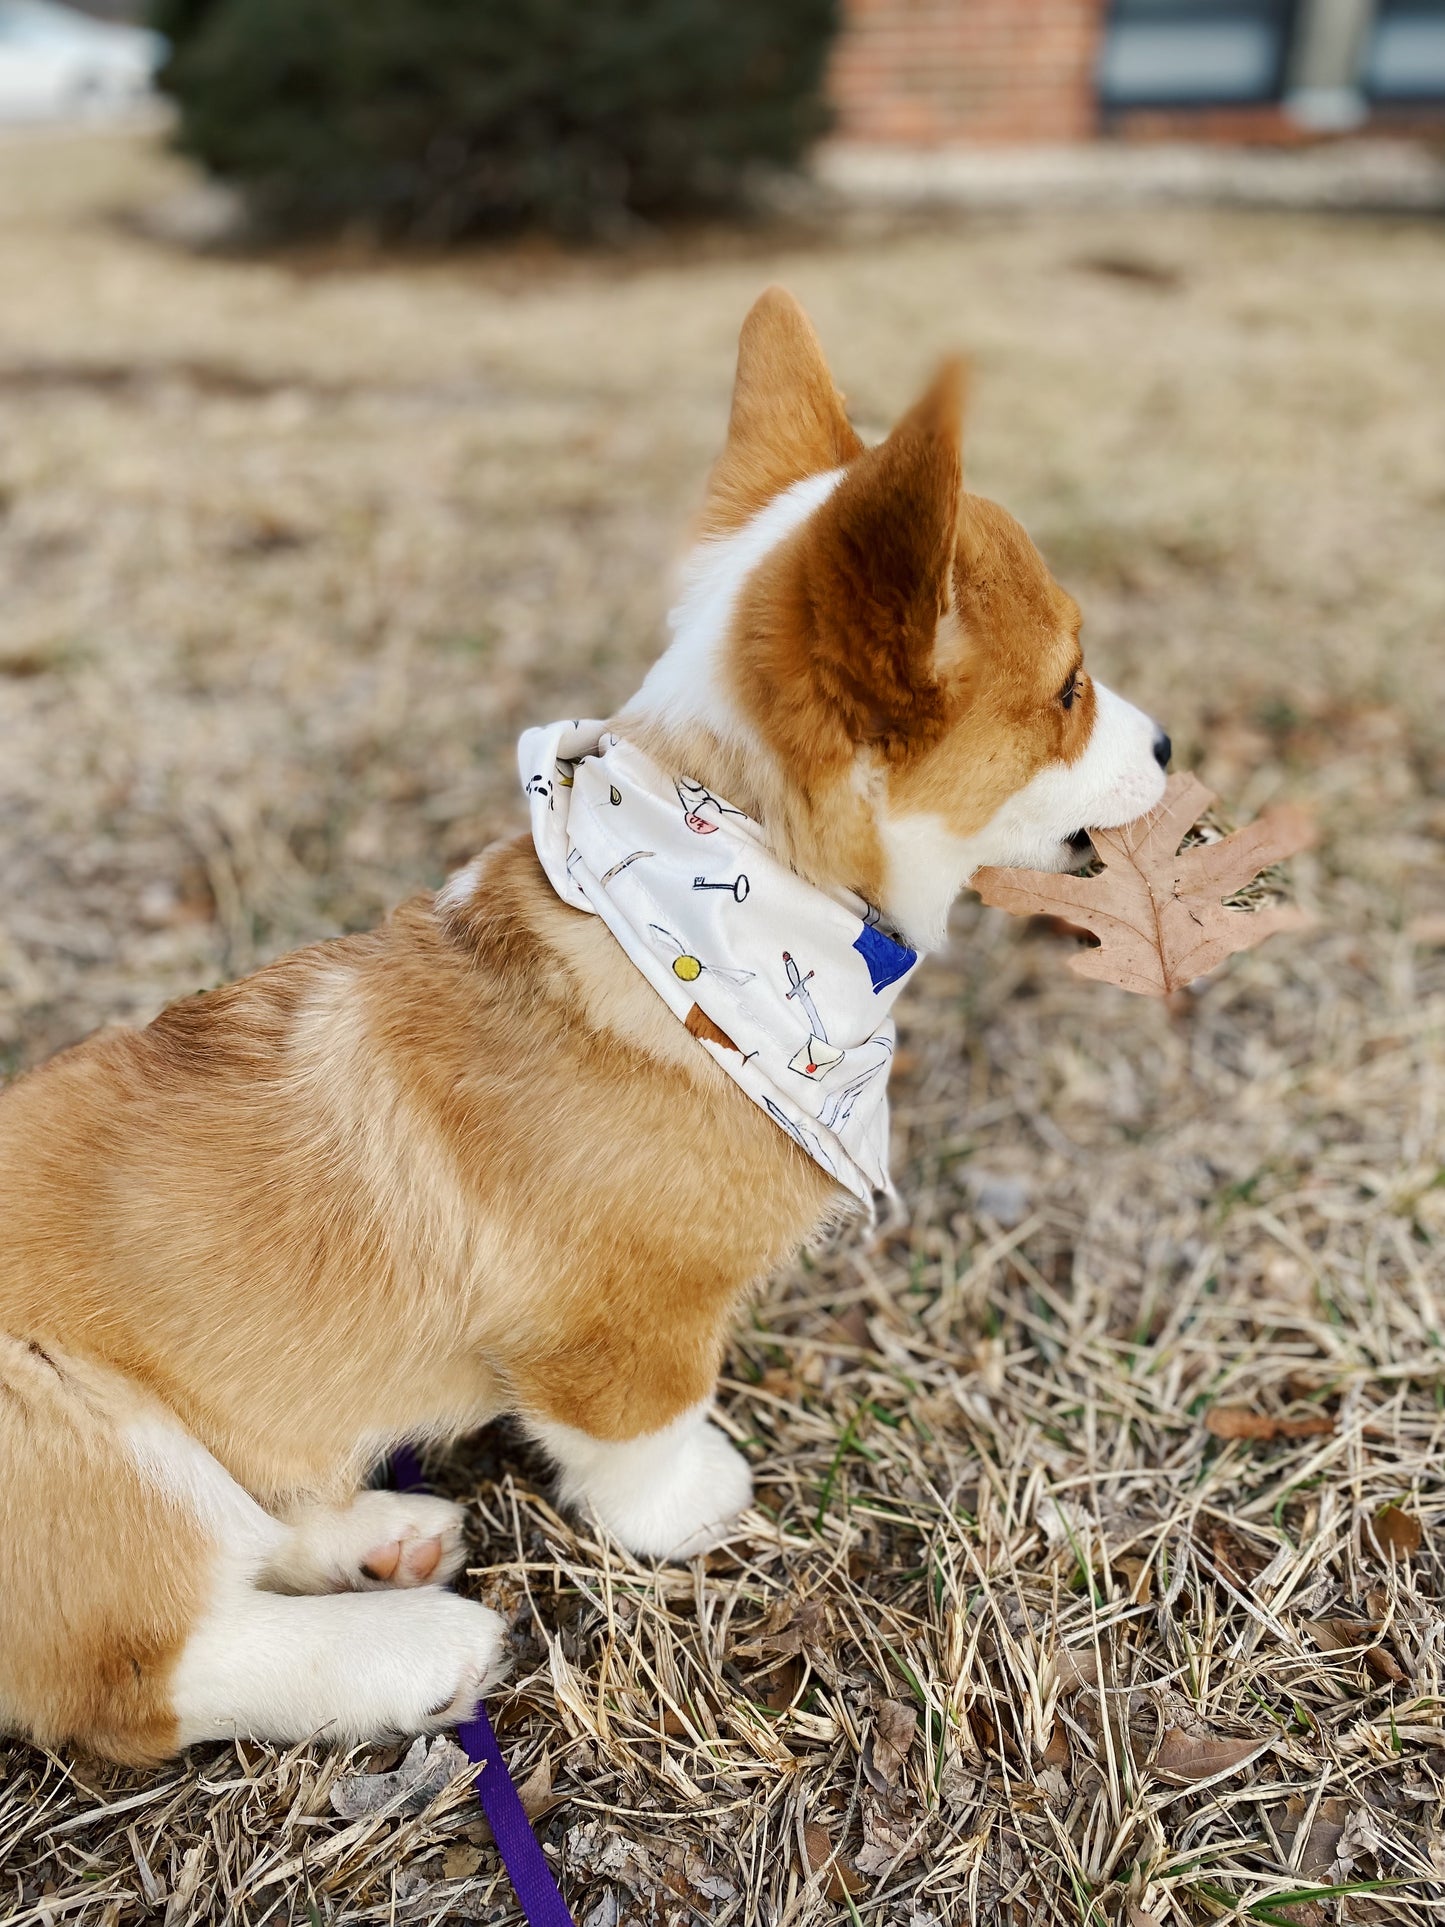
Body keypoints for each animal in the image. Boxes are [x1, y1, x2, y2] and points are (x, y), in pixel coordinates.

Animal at [0, 289, 1163, 1765]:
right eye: (1069, 686)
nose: (1171, 746)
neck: (710, 917)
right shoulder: (613, 1328)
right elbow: (644, 1429)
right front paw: (690, 1503)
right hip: (73, 1430)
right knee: (141, 1667)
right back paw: (411, 1646)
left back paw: (375, 1532)